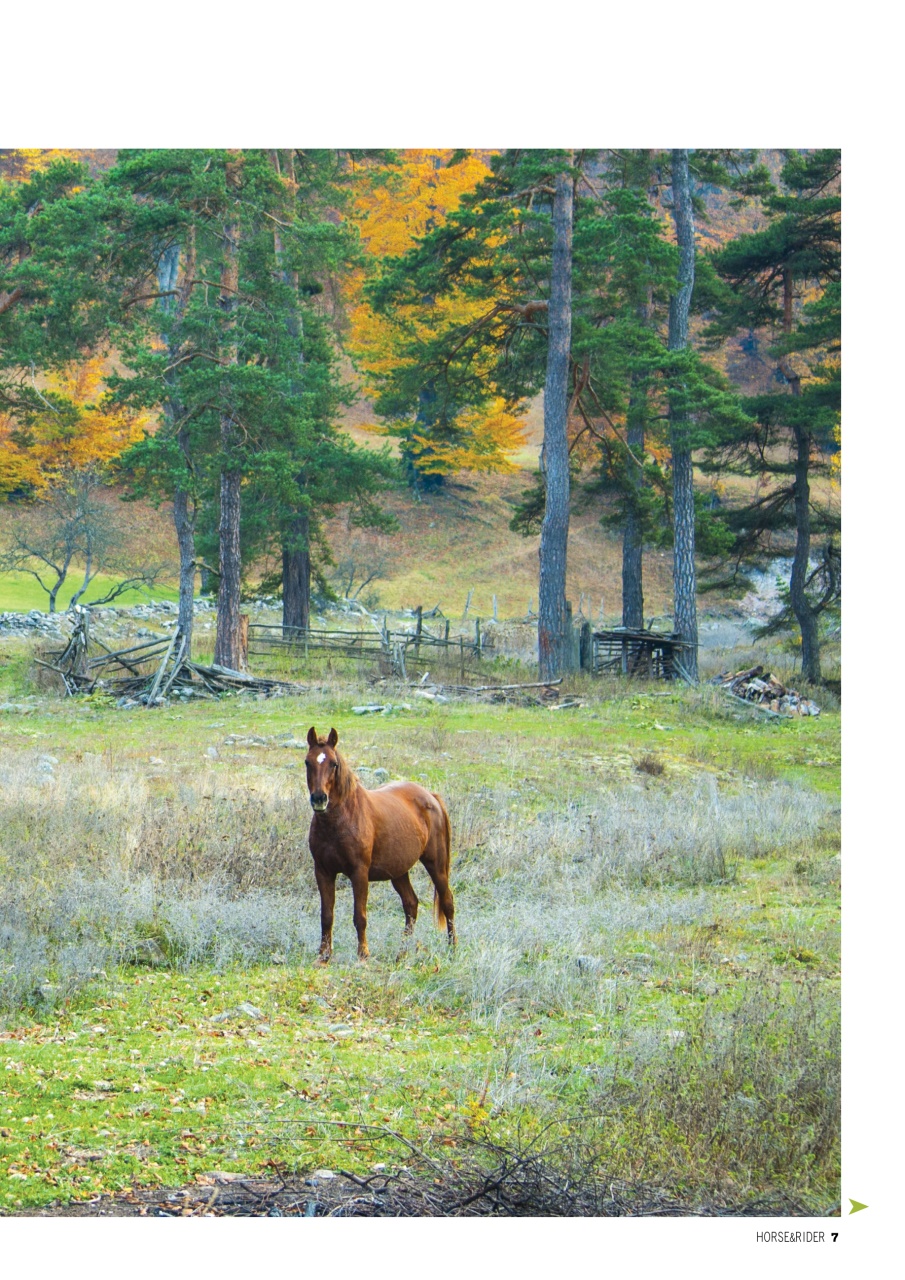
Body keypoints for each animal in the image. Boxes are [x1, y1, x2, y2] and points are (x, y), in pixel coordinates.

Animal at [304, 727, 456, 962]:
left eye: (334, 763)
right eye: (307, 762)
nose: (319, 799)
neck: (341, 820)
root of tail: (431, 796)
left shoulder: (359, 872)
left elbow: (360, 915)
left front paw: (363, 955)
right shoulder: (323, 871)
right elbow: (326, 915)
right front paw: (323, 957)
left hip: (436, 864)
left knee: (447, 902)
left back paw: (452, 950)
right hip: (399, 871)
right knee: (411, 905)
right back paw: (401, 954)